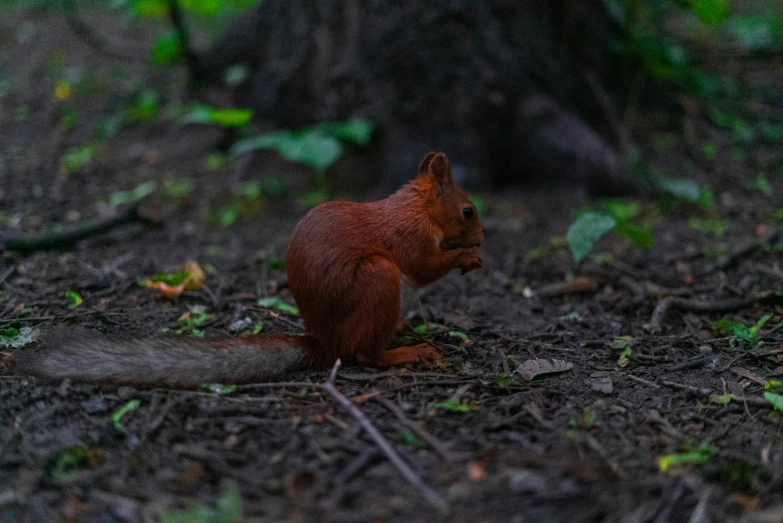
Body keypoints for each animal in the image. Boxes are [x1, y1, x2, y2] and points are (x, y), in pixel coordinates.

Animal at [15, 151, 484, 384]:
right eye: (468, 211)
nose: (481, 238)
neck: (417, 206)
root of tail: (322, 342)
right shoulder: (408, 237)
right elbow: (421, 269)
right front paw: (467, 257)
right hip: (377, 277)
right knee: (364, 355)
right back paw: (407, 351)